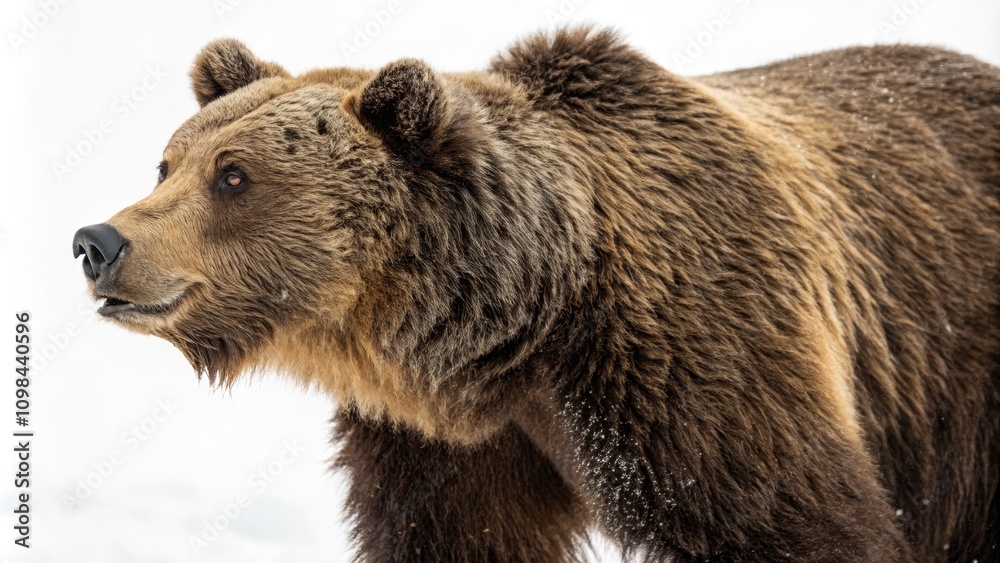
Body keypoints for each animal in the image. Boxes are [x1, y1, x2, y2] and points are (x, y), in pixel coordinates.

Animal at [71, 28, 999, 562]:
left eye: (235, 176)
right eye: (168, 161)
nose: (98, 242)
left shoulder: (698, 368)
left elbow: (792, 521)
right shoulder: (450, 450)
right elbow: (456, 538)